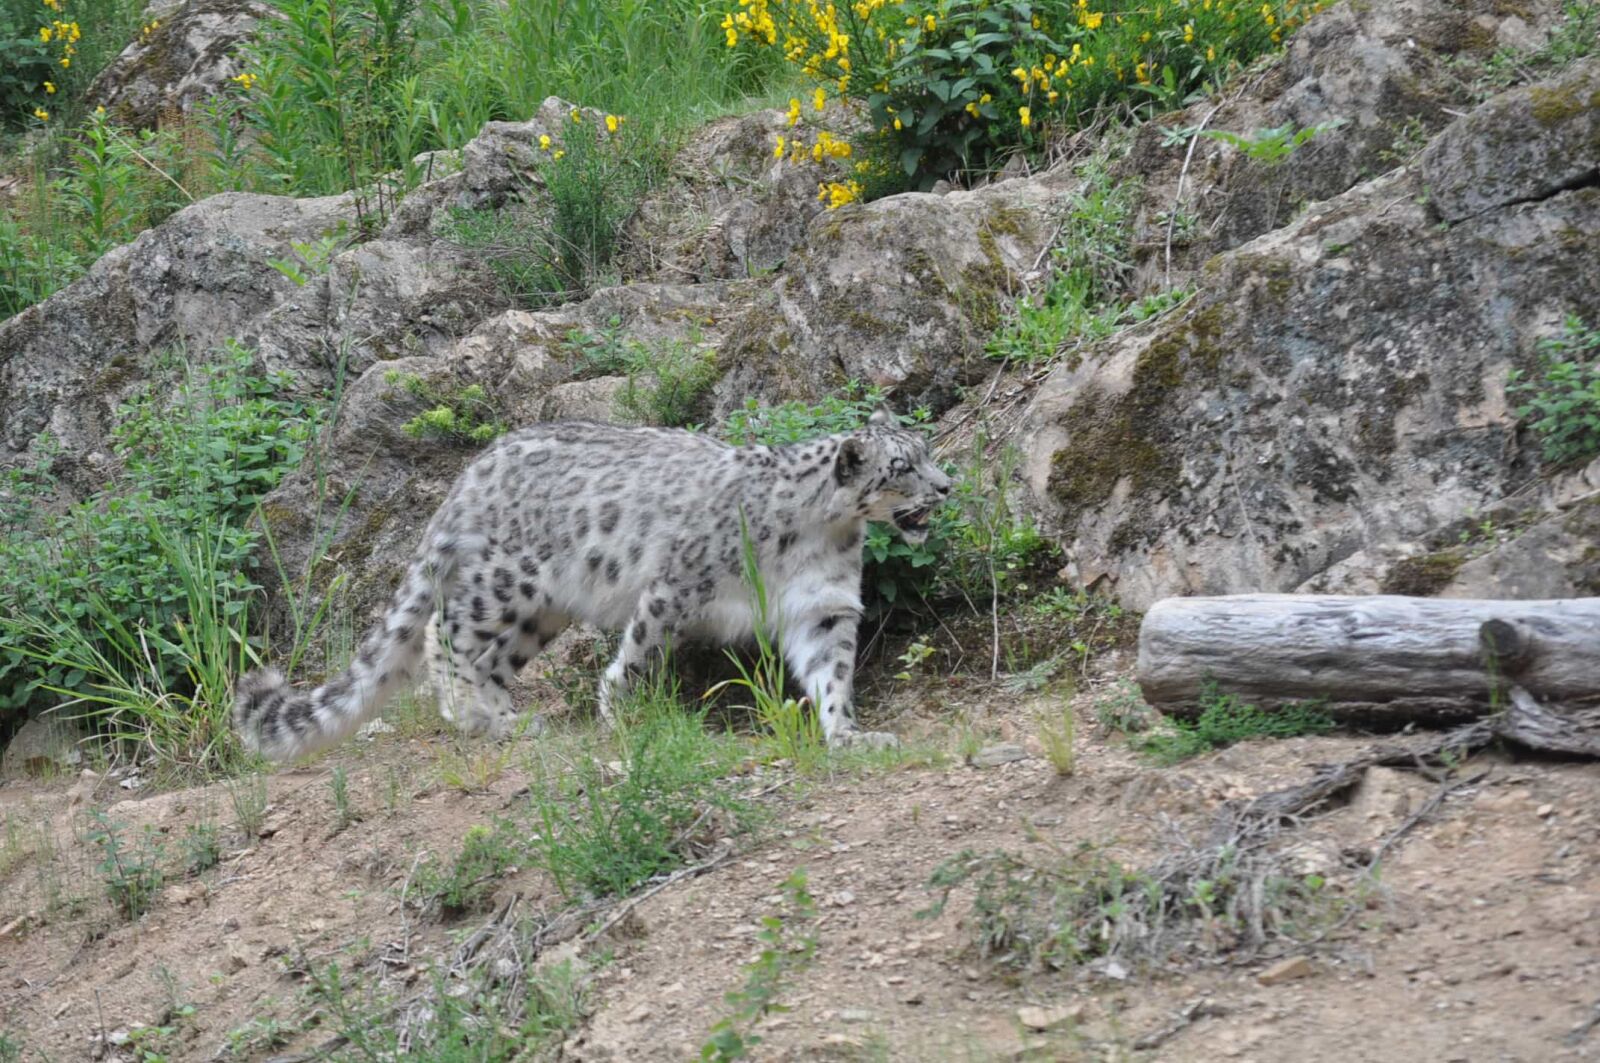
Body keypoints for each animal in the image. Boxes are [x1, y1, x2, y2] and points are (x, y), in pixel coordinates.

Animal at [234, 410, 951, 760]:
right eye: (901, 466)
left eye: (924, 452)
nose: (946, 485)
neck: (821, 534)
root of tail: (469, 475)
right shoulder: (675, 586)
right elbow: (637, 653)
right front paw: (620, 712)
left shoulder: (824, 607)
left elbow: (833, 673)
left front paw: (850, 735)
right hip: (509, 583)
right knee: (445, 633)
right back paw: (476, 714)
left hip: (540, 613)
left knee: (489, 656)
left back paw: (508, 717)